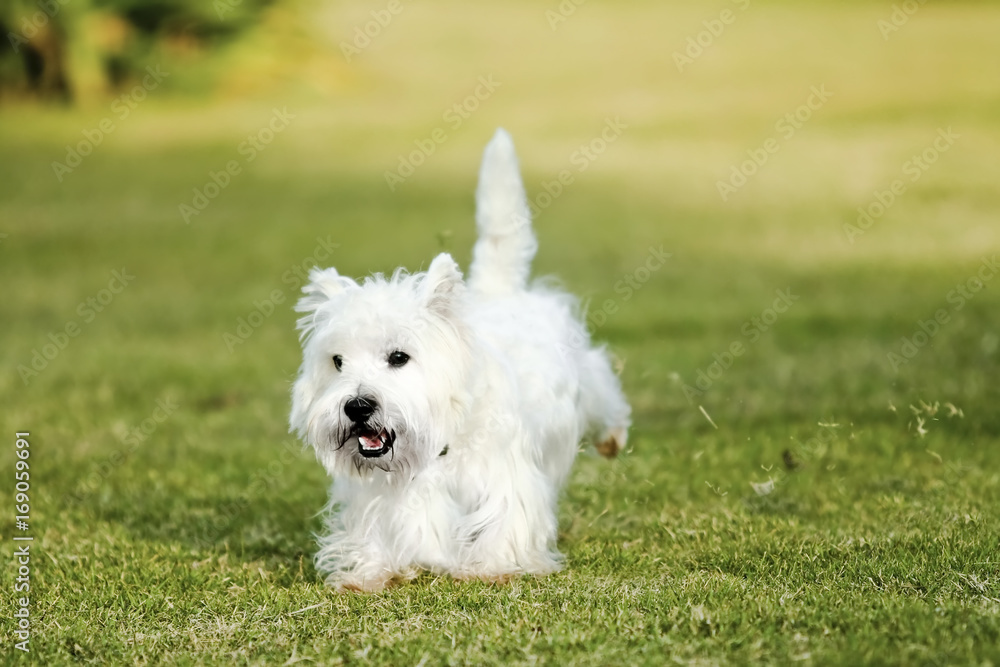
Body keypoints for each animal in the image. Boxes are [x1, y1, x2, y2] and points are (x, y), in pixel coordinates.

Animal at [292, 129, 632, 588]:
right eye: (337, 361)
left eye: (398, 356)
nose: (358, 407)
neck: (437, 444)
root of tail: (497, 292)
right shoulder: (384, 499)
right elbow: (377, 533)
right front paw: (367, 574)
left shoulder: (505, 477)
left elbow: (505, 522)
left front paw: (493, 567)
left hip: (585, 378)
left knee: (604, 391)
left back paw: (612, 436)